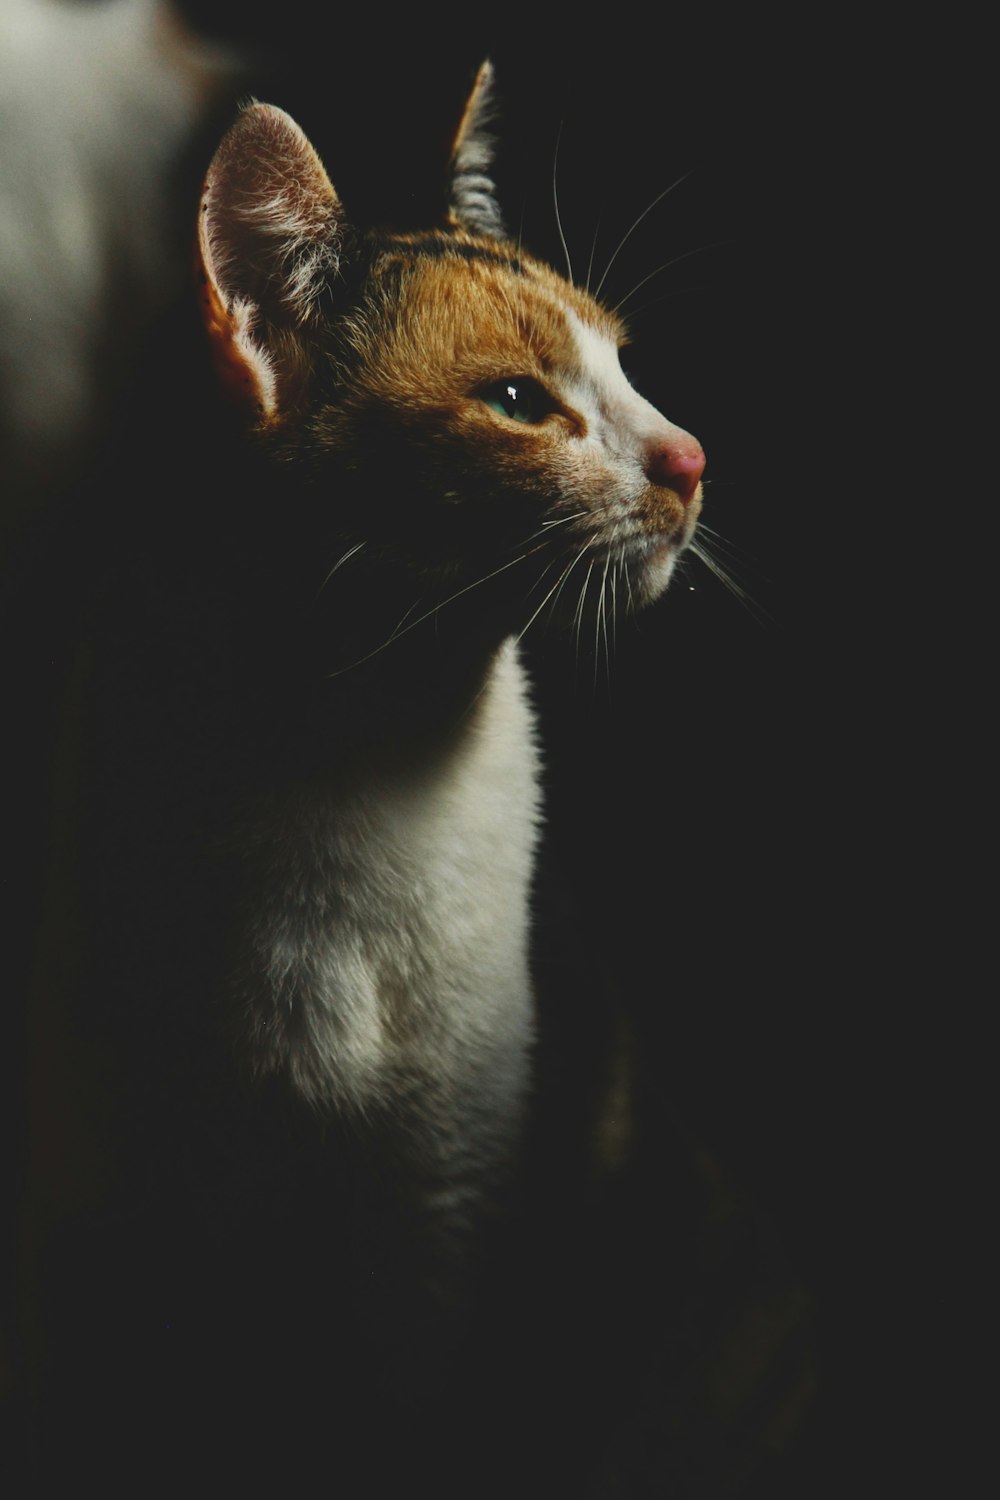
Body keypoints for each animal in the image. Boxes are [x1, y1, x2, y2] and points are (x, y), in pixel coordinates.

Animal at [21, 55, 704, 1488]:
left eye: (623, 363)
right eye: (520, 403)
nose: (691, 457)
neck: (347, 761)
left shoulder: (440, 1225)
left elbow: (405, 1411)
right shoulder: (138, 1225)